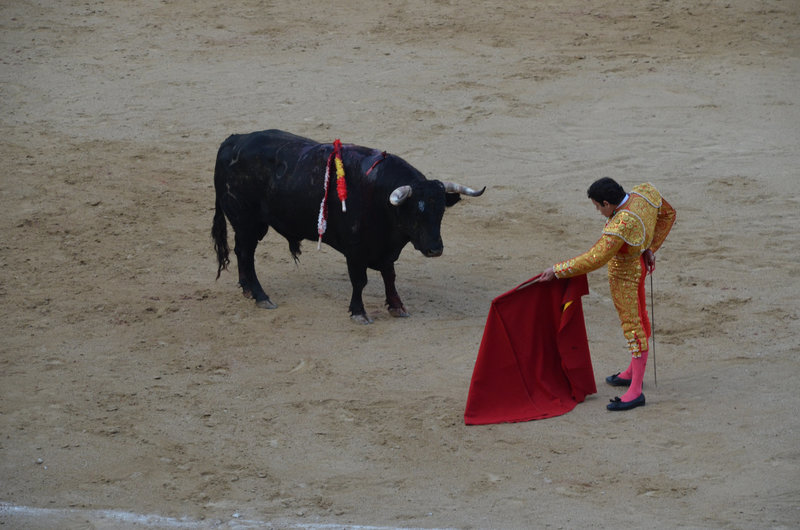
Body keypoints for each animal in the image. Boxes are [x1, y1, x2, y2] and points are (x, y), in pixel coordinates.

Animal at [209, 130, 484, 324]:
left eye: (441, 212)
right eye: (416, 211)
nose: (435, 249)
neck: (379, 198)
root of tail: (232, 141)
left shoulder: (385, 250)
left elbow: (389, 275)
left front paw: (397, 306)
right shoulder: (355, 250)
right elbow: (359, 280)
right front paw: (359, 312)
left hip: (248, 225)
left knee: (242, 253)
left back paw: (248, 290)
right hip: (246, 221)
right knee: (246, 253)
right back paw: (261, 296)